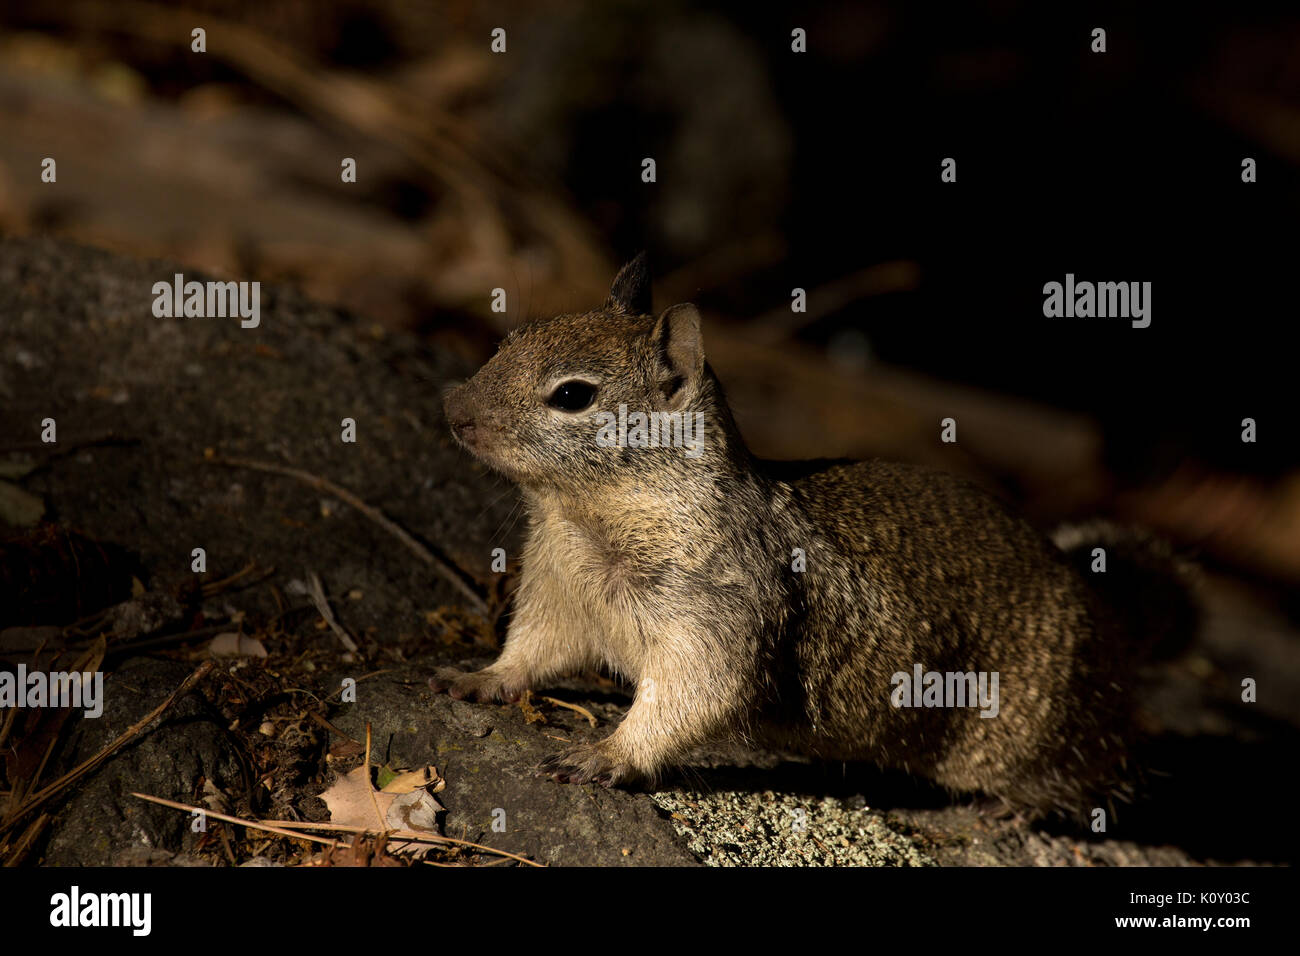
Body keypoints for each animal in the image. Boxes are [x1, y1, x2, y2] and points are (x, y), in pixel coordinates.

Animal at [432, 254, 1198, 817]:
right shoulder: (560, 594)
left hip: (1043, 733)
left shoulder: (718, 614)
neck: (587, 515)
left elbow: (694, 696)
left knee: (1097, 774)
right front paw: (480, 678)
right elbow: (534, 649)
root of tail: (1111, 622)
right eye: (510, 339)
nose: (454, 409)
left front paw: (608, 755)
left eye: (572, 396)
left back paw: (1012, 809)